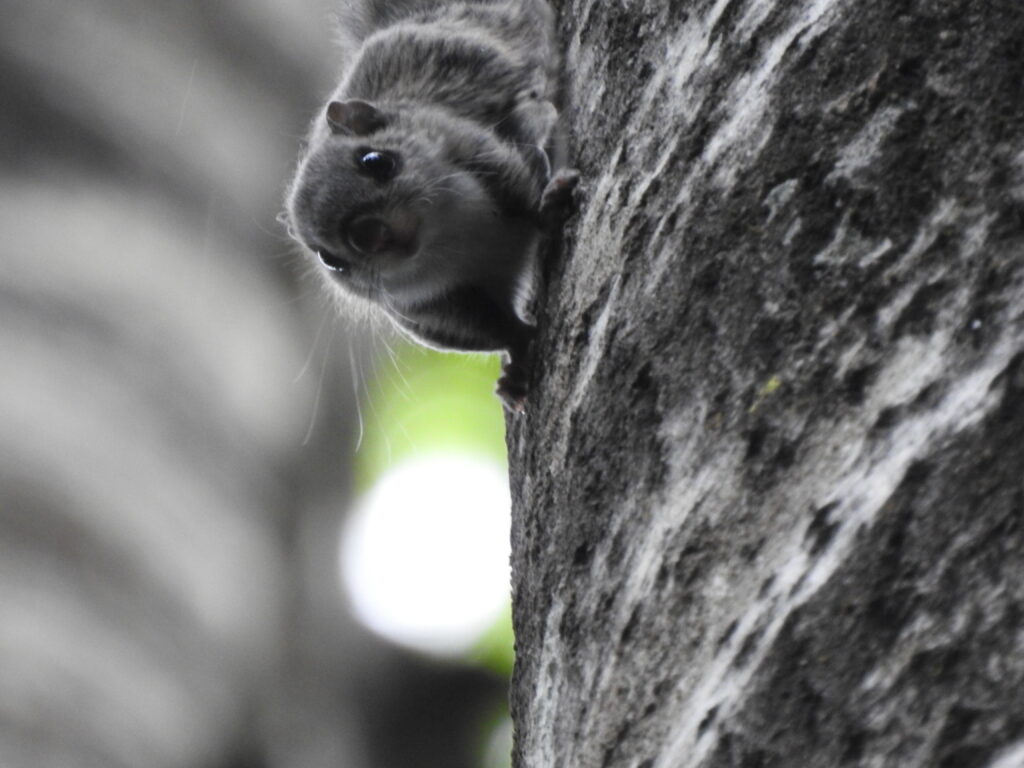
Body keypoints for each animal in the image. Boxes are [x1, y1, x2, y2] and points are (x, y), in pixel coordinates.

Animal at [284, 0, 578, 412]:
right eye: (331, 260)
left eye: (375, 160)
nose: (372, 237)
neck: (447, 235)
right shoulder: (426, 307)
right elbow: (484, 328)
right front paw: (518, 357)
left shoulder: (477, 148)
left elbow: (523, 181)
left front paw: (547, 210)